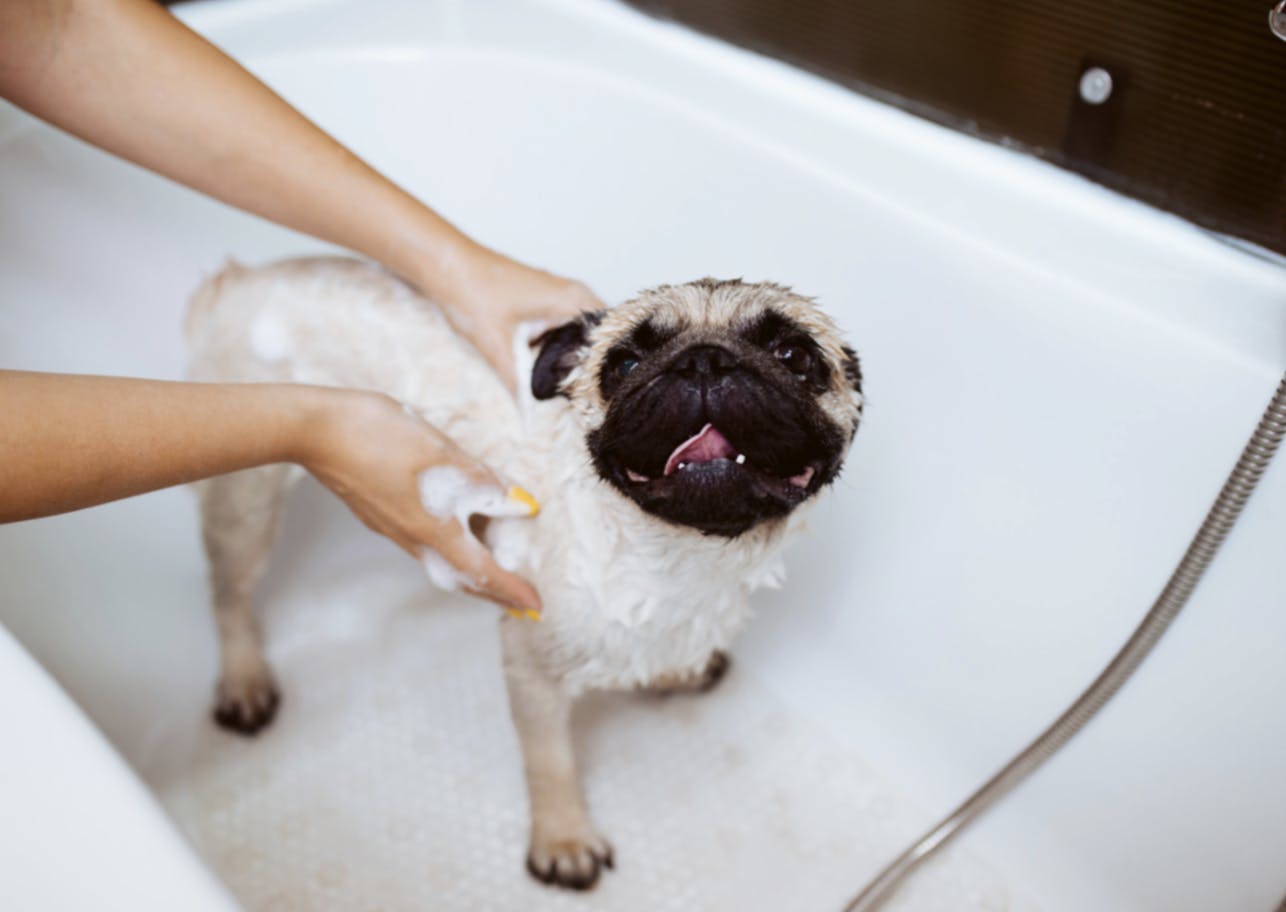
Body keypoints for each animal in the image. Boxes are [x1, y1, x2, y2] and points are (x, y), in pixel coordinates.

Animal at [186, 255, 864, 890]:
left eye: (794, 355)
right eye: (623, 365)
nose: (705, 360)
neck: (679, 554)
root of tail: (238, 280)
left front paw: (674, 670)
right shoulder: (531, 666)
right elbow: (550, 760)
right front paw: (563, 839)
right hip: (246, 492)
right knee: (229, 591)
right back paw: (243, 678)